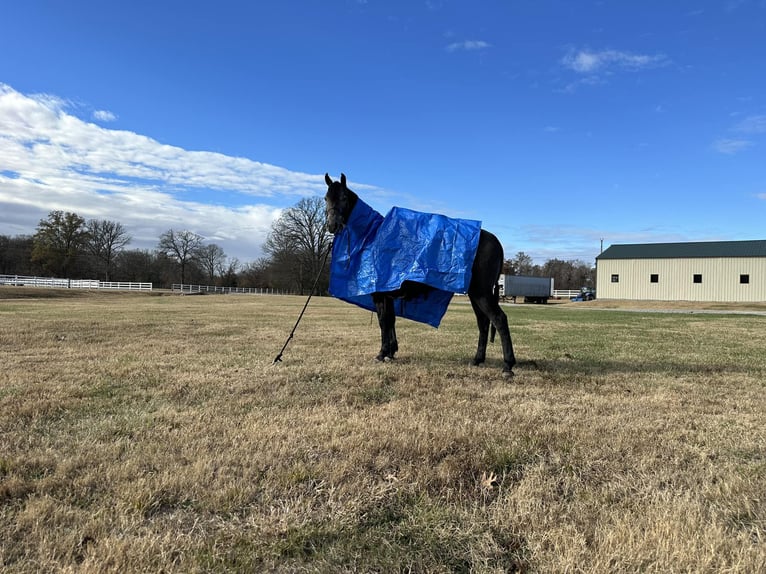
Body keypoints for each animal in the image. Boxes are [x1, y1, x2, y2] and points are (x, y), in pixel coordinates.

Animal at [324, 173, 516, 376]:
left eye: (344, 197)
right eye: (326, 198)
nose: (332, 225)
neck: (371, 238)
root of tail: (495, 241)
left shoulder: (380, 295)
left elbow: (383, 321)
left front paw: (382, 353)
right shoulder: (388, 296)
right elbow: (390, 320)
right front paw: (391, 351)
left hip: (481, 293)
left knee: (499, 319)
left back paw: (508, 366)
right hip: (475, 294)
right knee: (483, 322)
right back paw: (477, 359)